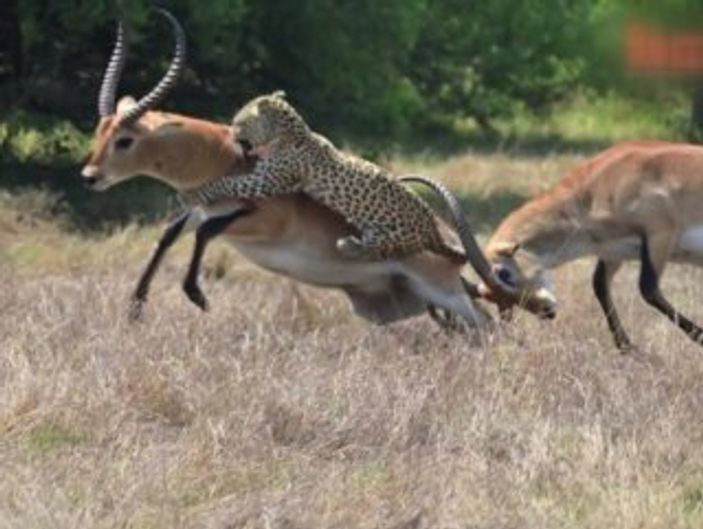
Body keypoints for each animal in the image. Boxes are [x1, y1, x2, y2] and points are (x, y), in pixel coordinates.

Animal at [81, 10, 513, 329]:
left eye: (125, 140)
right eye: (100, 131)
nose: (90, 177)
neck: (217, 155)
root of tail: (448, 244)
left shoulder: (256, 216)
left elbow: (209, 229)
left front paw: (197, 295)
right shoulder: (197, 211)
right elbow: (169, 235)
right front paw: (135, 307)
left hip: (445, 293)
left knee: (489, 325)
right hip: (419, 302)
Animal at [477, 140, 703, 350]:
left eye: (504, 273)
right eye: (489, 296)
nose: (546, 311)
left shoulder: (659, 234)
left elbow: (648, 288)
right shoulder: (612, 252)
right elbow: (599, 285)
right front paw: (628, 348)